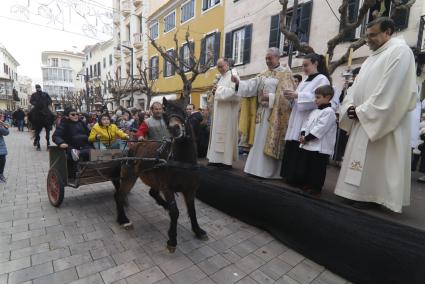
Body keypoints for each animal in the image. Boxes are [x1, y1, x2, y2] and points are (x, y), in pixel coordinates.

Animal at [112, 98, 206, 253]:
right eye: (166, 114)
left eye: (184, 111)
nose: (175, 129)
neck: (182, 161)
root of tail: (131, 147)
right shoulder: (168, 189)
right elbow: (175, 212)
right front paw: (172, 239)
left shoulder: (190, 190)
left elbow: (192, 211)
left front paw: (198, 230)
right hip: (129, 178)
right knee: (119, 195)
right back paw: (123, 220)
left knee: (152, 193)